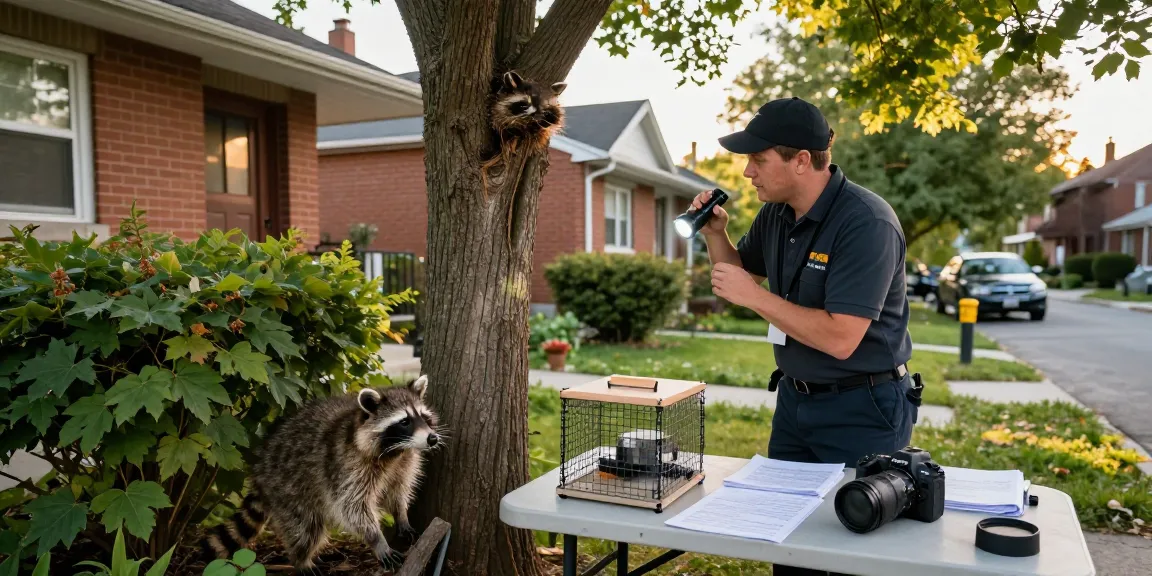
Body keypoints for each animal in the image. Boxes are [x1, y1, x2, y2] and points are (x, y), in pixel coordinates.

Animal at [201, 375, 442, 572]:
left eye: (423, 416)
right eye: (404, 421)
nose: (432, 438)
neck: (394, 451)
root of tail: (261, 465)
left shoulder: (404, 462)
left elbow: (398, 488)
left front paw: (401, 513)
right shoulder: (346, 465)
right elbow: (353, 507)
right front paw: (377, 539)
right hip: (286, 485)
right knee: (305, 526)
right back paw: (301, 560)